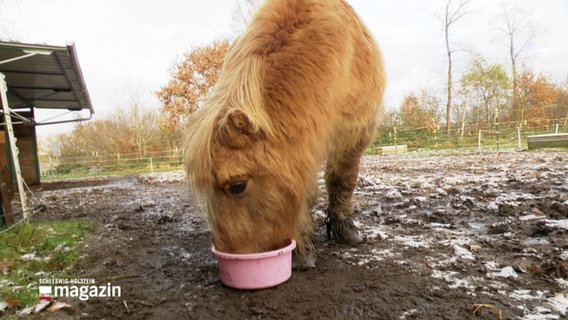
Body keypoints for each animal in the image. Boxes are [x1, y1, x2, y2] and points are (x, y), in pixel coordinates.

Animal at [184, 0, 384, 268]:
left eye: (237, 186)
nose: (232, 254)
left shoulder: (354, 135)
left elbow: (342, 180)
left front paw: (344, 231)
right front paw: (301, 249)